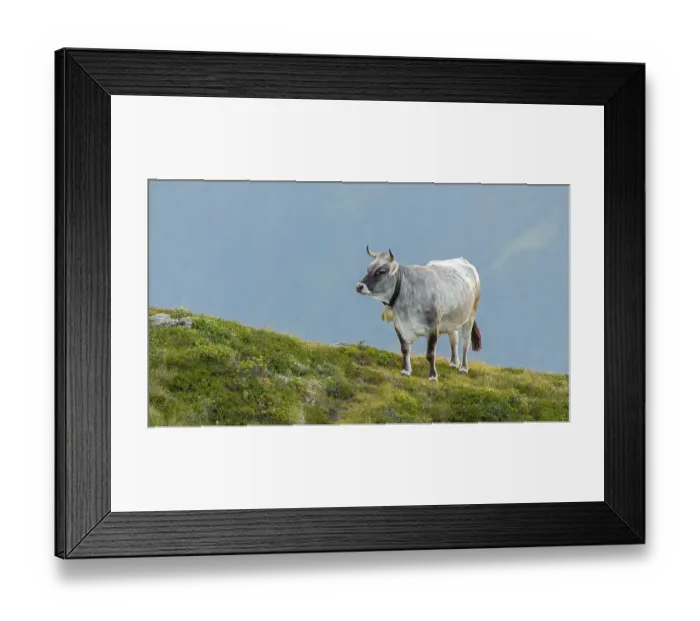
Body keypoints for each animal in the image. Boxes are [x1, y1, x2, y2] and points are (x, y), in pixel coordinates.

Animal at [355, 246, 482, 381]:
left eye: (381, 271)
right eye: (369, 268)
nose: (359, 286)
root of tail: (463, 260)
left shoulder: (432, 327)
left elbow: (430, 354)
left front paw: (432, 376)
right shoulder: (399, 326)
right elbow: (405, 349)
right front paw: (406, 371)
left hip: (471, 314)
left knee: (465, 342)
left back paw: (463, 368)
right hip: (451, 319)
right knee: (454, 338)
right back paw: (453, 363)